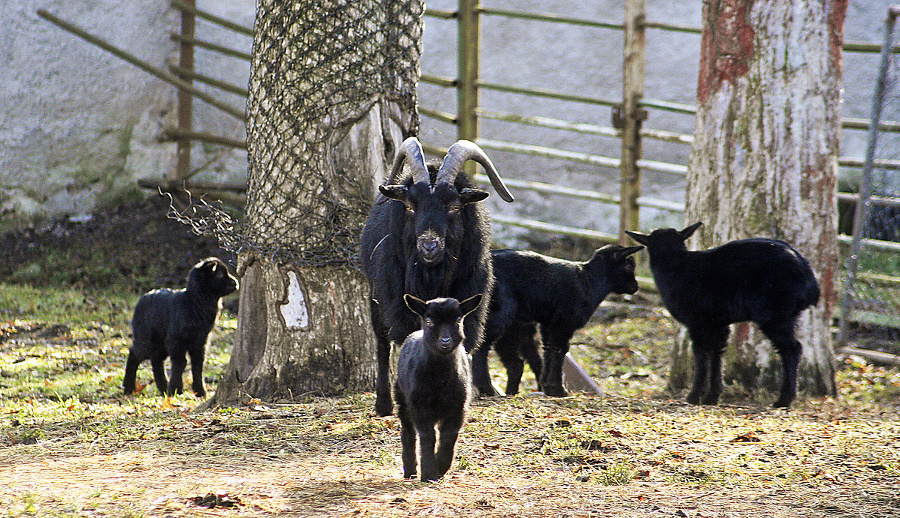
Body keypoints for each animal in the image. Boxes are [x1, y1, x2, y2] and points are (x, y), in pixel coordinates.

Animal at [358, 137, 512, 418]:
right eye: (410, 206)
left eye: (454, 206)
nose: (429, 246)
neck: (433, 276)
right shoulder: (401, 304)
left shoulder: (469, 301)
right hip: (376, 297)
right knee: (382, 345)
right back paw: (383, 405)